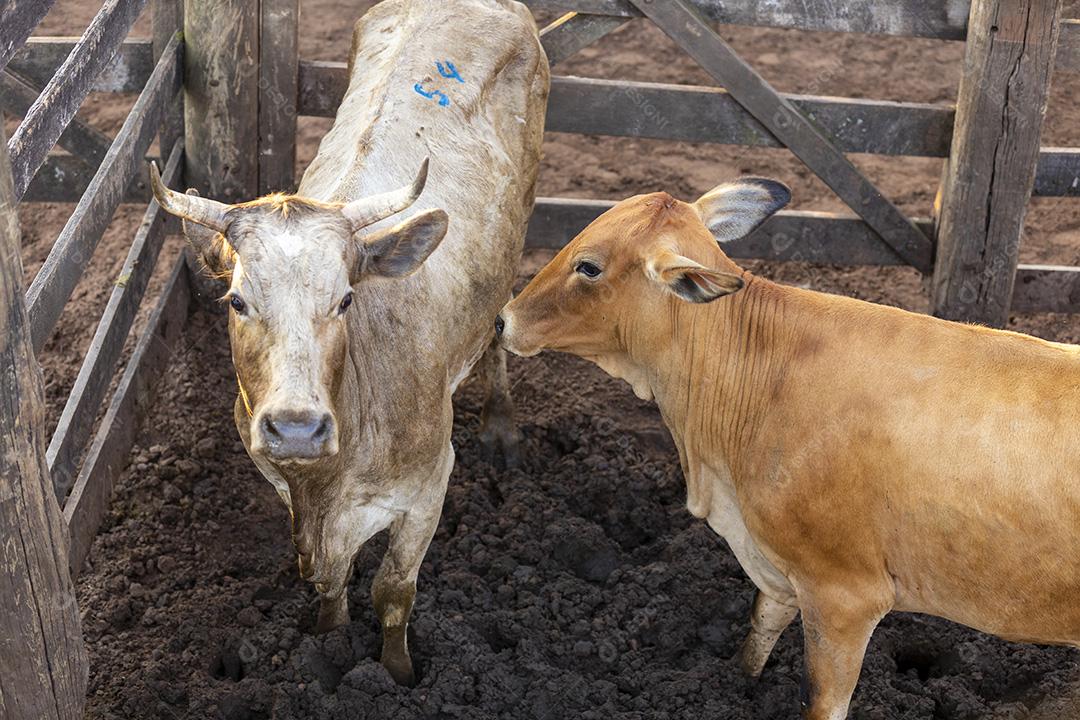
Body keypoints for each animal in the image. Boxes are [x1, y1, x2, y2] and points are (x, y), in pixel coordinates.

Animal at [149, 0, 549, 686]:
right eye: (236, 301)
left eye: (345, 300)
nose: (296, 428)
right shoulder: (283, 483)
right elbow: (330, 579)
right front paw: (329, 644)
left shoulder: (428, 486)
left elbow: (393, 591)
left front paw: (397, 673)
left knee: (496, 327)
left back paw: (501, 427)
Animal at [496, 180, 1080, 719]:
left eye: (589, 267)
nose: (503, 320)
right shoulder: (775, 565)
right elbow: (760, 626)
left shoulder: (845, 595)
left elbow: (823, 699)